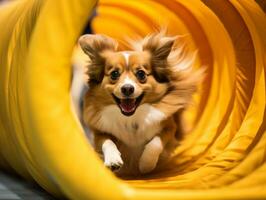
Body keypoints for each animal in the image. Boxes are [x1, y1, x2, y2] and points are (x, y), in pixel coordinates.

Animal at [78, 30, 204, 176]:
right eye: (114, 74)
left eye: (141, 74)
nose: (127, 88)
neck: (131, 117)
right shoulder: (99, 133)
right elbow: (108, 142)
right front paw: (113, 160)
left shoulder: (169, 128)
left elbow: (155, 143)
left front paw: (146, 165)